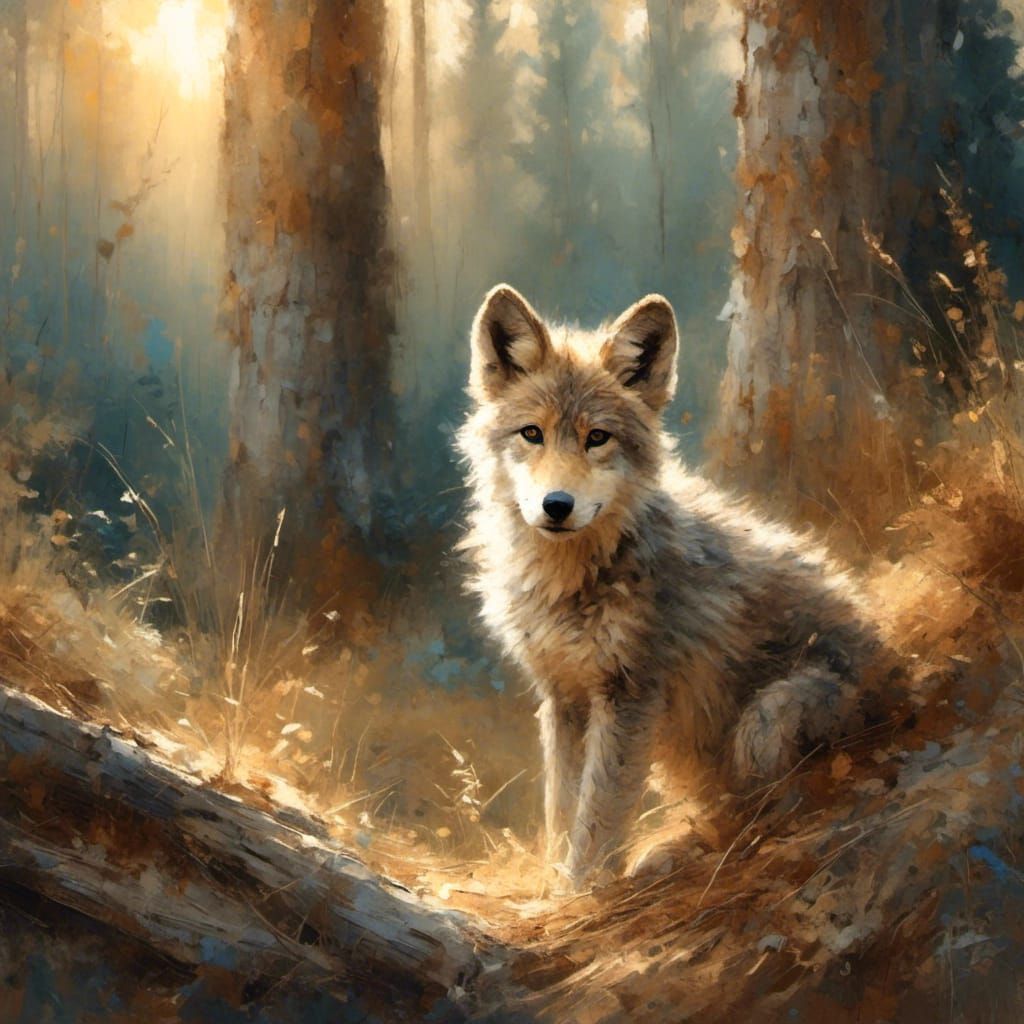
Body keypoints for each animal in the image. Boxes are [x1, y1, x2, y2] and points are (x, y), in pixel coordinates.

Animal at [456, 284, 878, 888]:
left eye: (597, 438)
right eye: (531, 434)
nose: (556, 505)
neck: (573, 580)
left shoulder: (630, 695)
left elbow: (599, 814)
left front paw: (582, 892)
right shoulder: (563, 697)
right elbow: (563, 807)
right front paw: (555, 883)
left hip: (768, 720)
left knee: (769, 810)